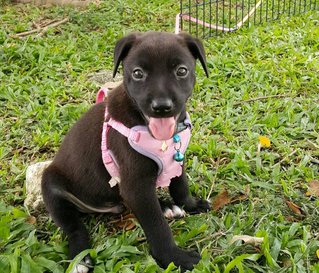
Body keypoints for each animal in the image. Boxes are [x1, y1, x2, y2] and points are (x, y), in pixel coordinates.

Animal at [42, 31, 212, 270]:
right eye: (138, 73)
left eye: (181, 71)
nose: (162, 107)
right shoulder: (135, 184)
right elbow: (156, 226)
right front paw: (174, 257)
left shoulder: (177, 160)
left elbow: (180, 186)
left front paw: (190, 204)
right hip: (50, 184)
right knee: (72, 225)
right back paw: (80, 257)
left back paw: (166, 206)